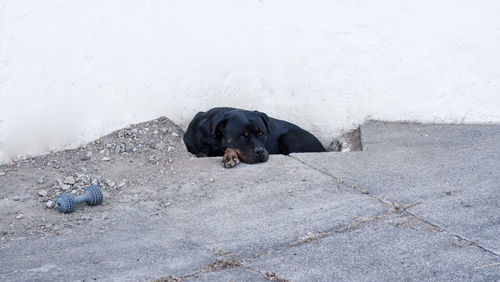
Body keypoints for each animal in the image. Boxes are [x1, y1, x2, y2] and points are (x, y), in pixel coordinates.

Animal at [184, 107, 324, 166]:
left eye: (262, 134)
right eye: (241, 137)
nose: (260, 151)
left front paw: (230, 155)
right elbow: (202, 153)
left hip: (288, 138)